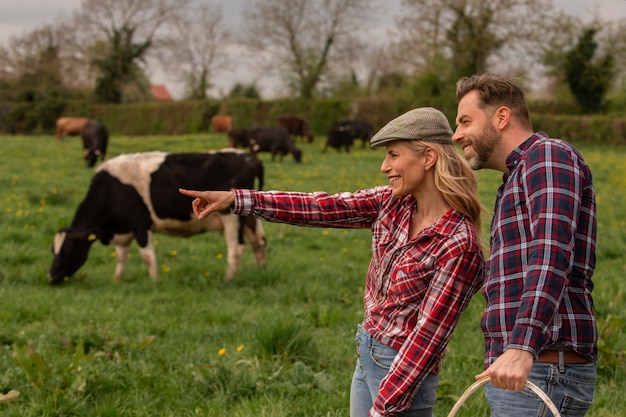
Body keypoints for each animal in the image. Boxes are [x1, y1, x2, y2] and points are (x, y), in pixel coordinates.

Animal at [47, 149, 264, 282]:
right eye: (52, 250)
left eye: (67, 251)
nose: (50, 277)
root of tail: (248, 157)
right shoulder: (123, 228)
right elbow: (121, 256)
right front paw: (117, 279)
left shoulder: (140, 224)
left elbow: (147, 255)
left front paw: (154, 281)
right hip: (249, 219)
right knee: (259, 242)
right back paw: (261, 271)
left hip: (232, 219)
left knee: (236, 249)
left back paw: (227, 279)